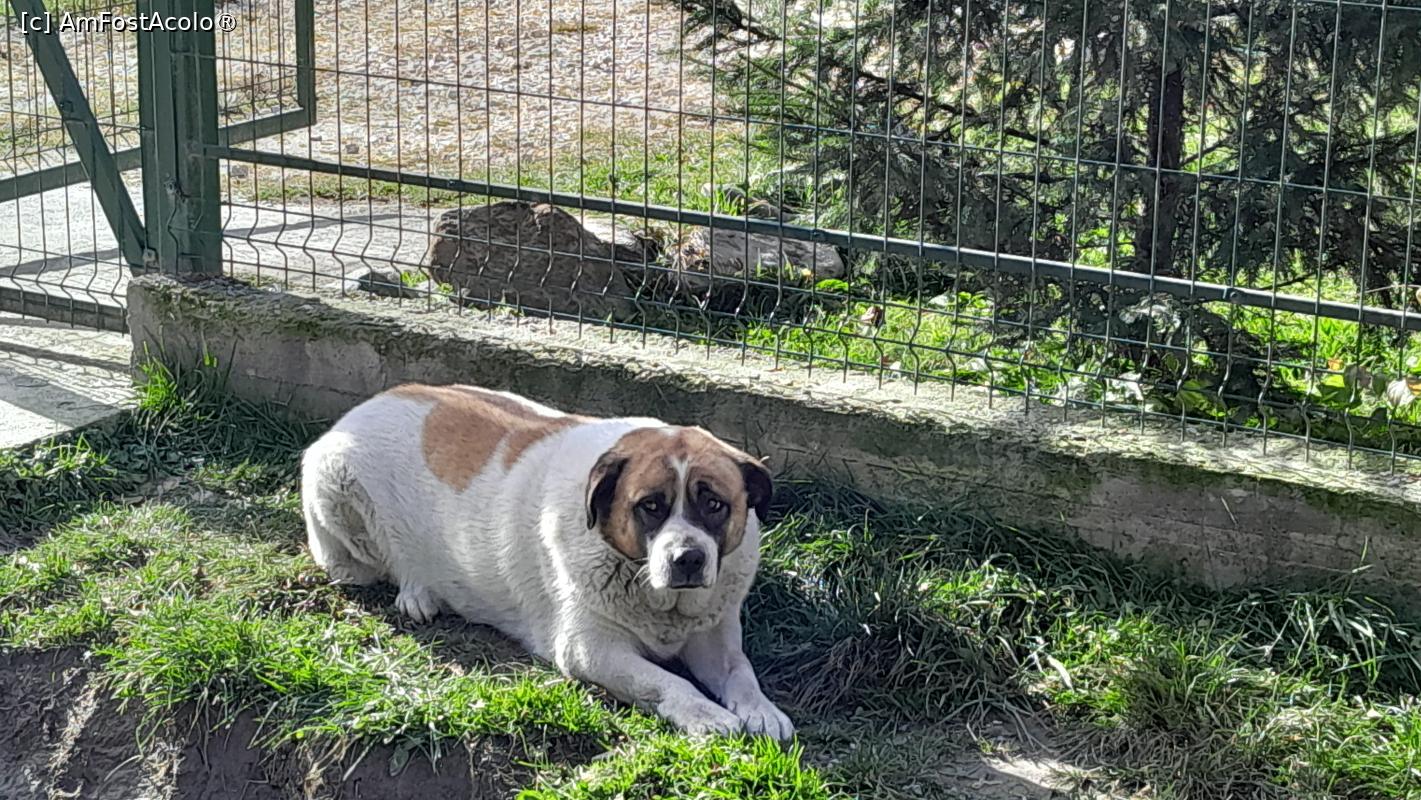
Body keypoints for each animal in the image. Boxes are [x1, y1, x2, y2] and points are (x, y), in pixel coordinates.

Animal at [300, 383, 793, 739]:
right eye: (651, 506)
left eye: (714, 504)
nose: (687, 558)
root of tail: (356, 412)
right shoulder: (590, 649)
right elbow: (668, 682)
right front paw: (708, 716)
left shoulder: (713, 634)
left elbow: (740, 670)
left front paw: (761, 710)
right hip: (337, 487)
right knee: (366, 567)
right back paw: (416, 594)